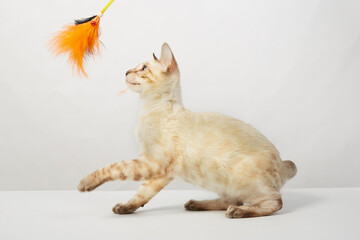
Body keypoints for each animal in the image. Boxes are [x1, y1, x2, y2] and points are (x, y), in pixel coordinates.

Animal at [77, 42, 296, 218]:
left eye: (143, 68)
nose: (126, 71)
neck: (149, 110)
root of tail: (283, 163)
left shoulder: (152, 162)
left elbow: (114, 168)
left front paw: (85, 183)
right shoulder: (160, 171)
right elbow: (142, 193)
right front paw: (125, 207)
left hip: (245, 181)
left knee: (273, 202)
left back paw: (238, 212)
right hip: (222, 182)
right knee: (232, 199)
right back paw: (195, 204)